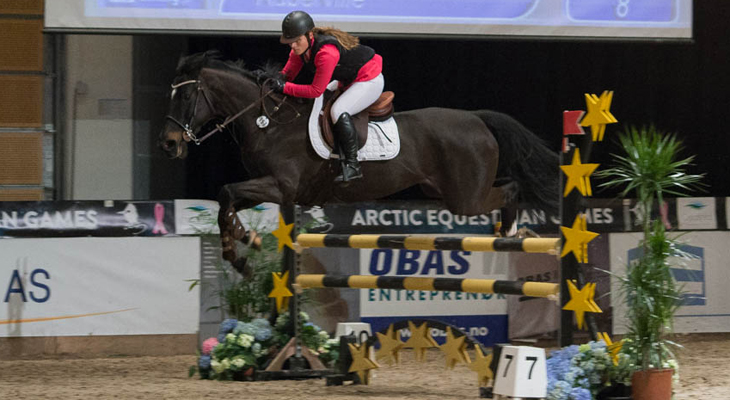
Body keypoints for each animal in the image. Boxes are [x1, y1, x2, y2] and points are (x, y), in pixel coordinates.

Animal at [159, 51, 559, 273]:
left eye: (187, 97)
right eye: (171, 95)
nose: (169, 144)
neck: (269, 122)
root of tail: (477, 118)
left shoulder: (280, 186)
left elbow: (226, 193)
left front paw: (242, 247)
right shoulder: (269, 189)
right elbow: (225, 203)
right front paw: (242, 245)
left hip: (466, 198)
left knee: (510, 189)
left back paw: (512, 232)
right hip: (445, 191)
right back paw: (512, 234)